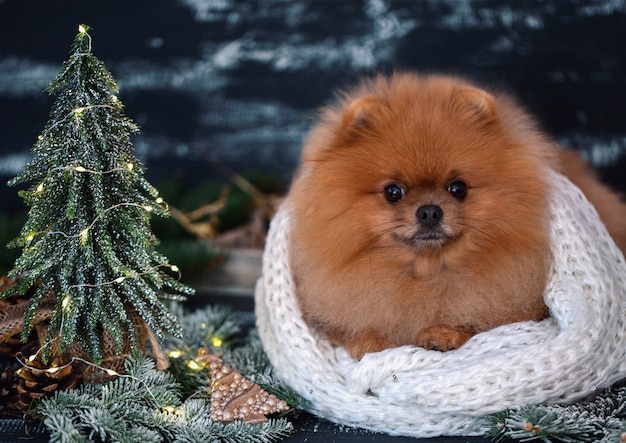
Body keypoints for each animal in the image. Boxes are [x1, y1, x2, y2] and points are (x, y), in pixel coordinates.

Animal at [286, 71, 624, 360]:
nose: (429, 211)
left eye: (458, 188)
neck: (427, 274)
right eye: (393, 192)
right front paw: (370, 339)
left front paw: (443, 333)